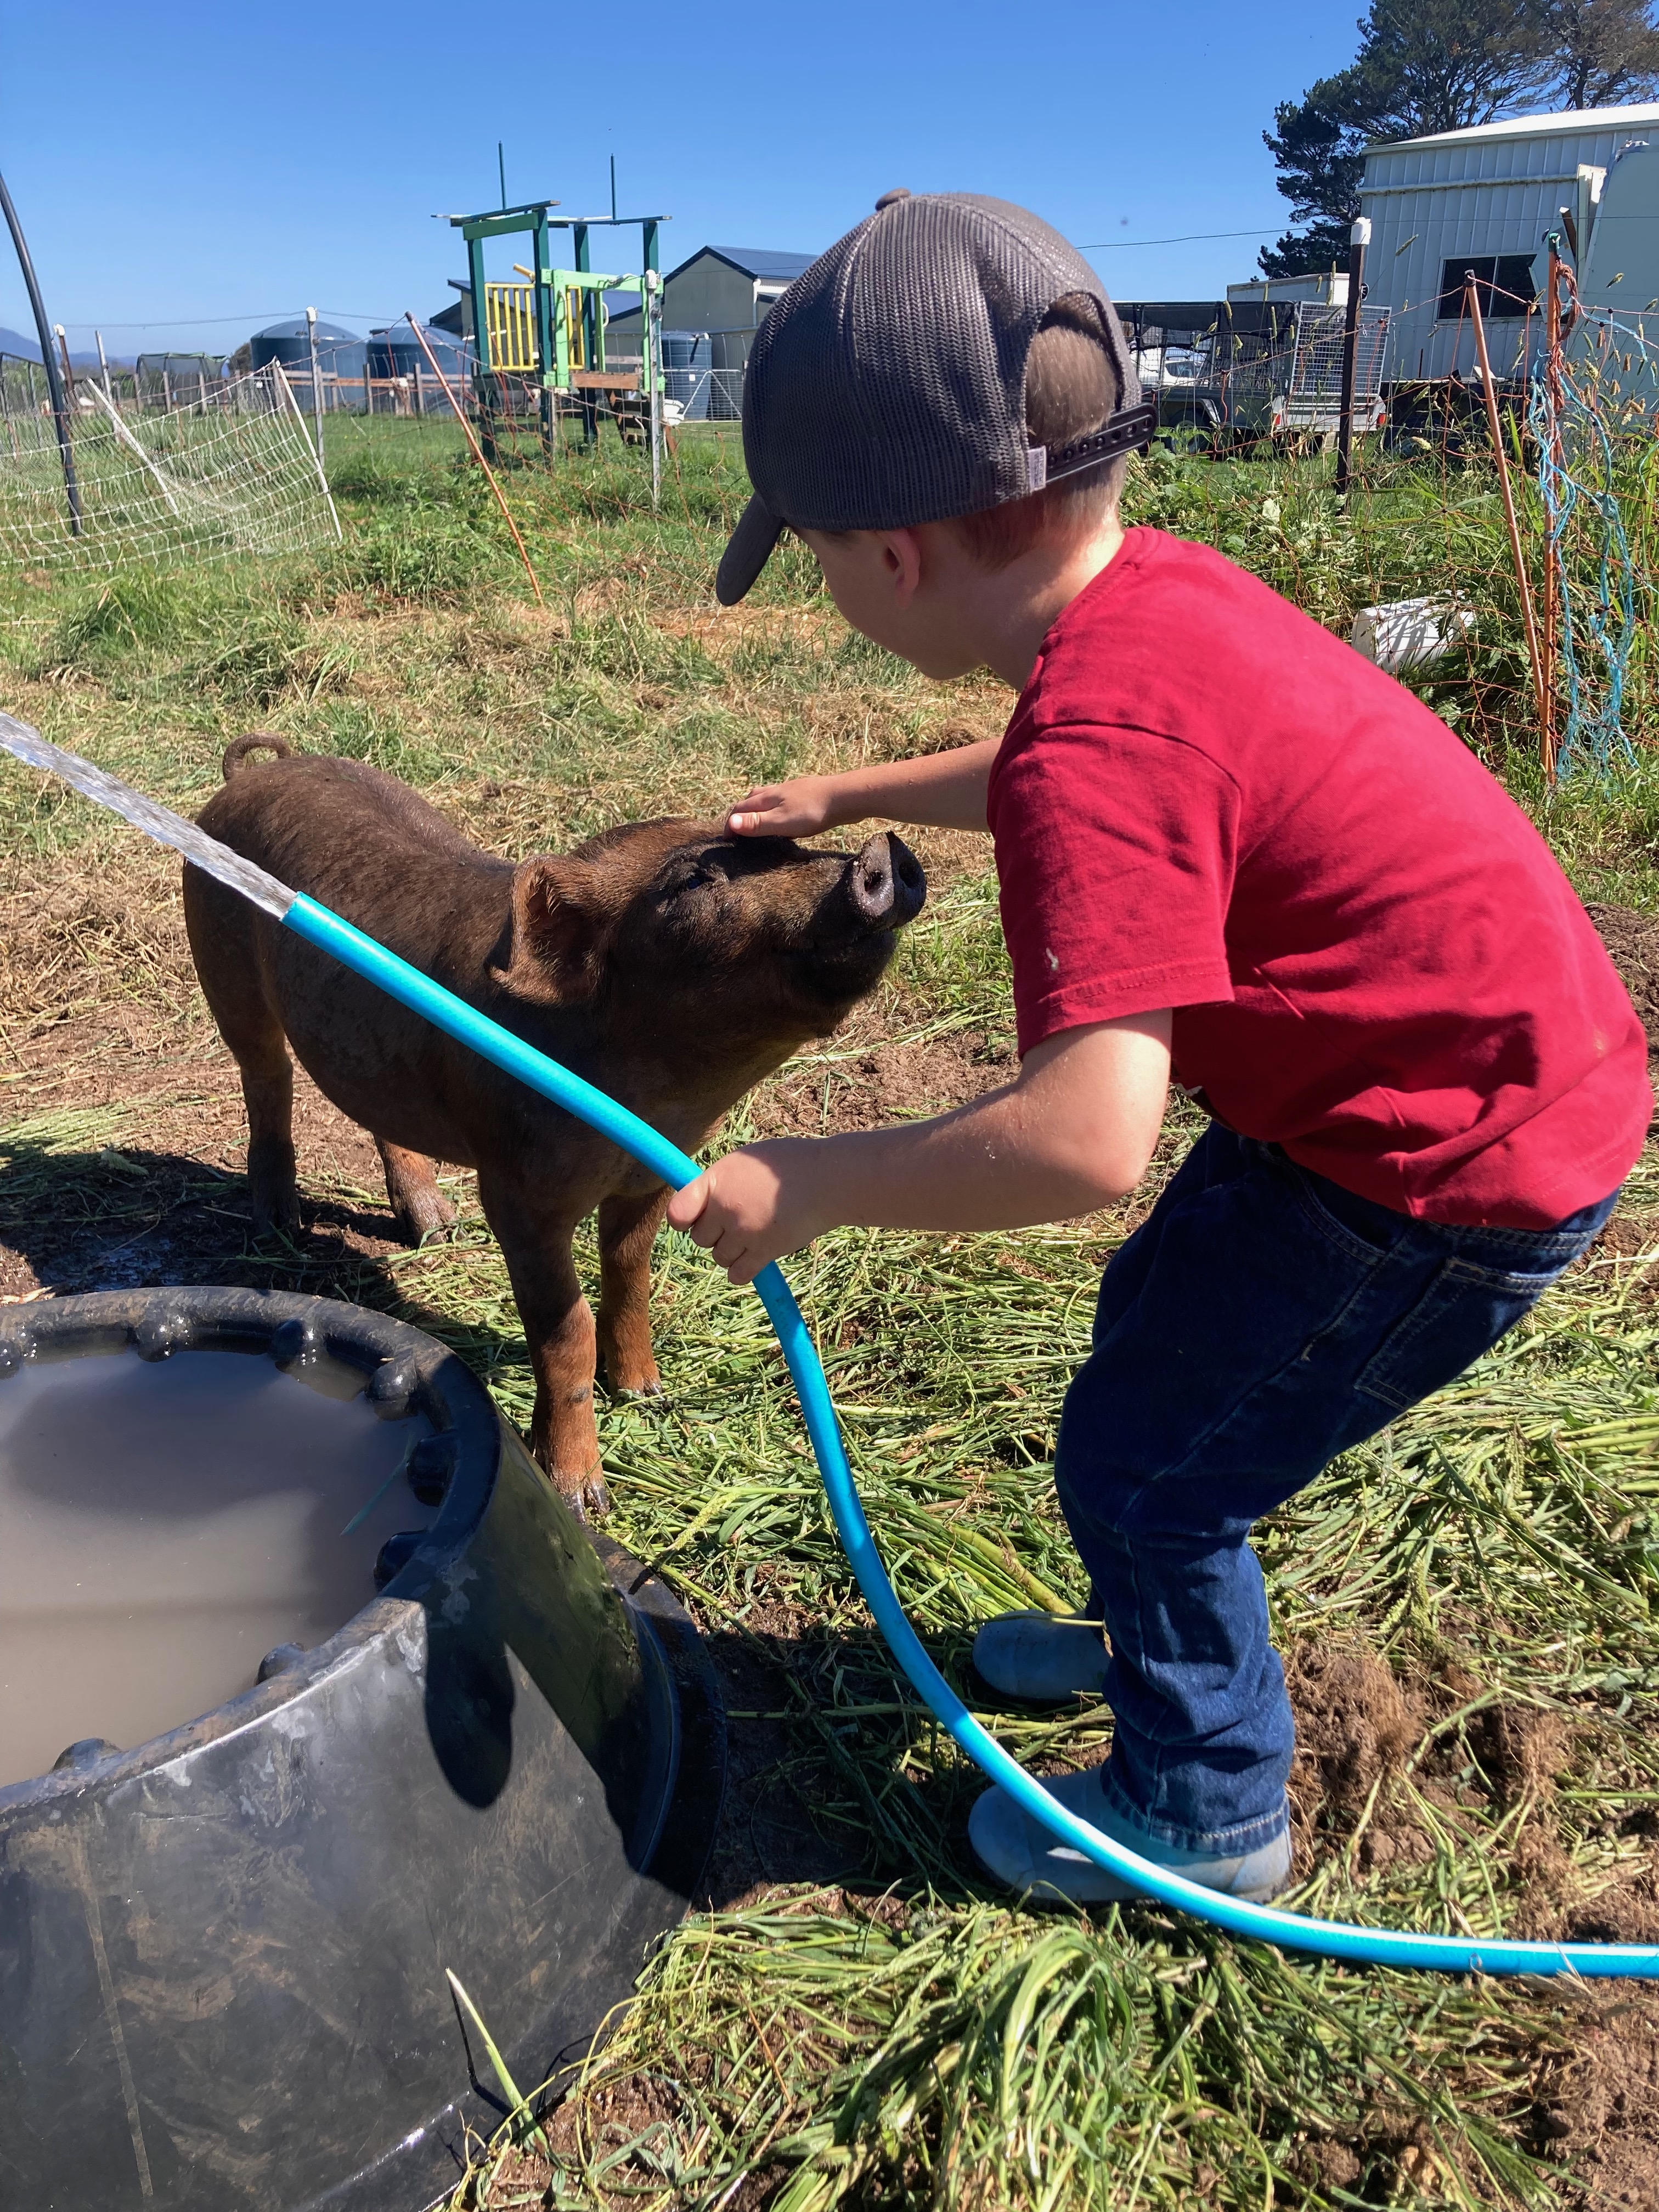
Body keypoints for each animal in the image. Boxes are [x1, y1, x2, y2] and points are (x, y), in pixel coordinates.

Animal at [188, 734, 929, 1513]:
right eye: (691, 882)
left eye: (786, 847)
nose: (879, 857)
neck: (655, 1102)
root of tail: (257, 772)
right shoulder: (518, 1194)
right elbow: (563, 1330)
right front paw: (583, 1496)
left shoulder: (652, 1178)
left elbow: (631, 1274)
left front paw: (646, 1393)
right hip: (222, 962)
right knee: (266, 1081)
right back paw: (280, 1226)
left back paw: (435, 1230)